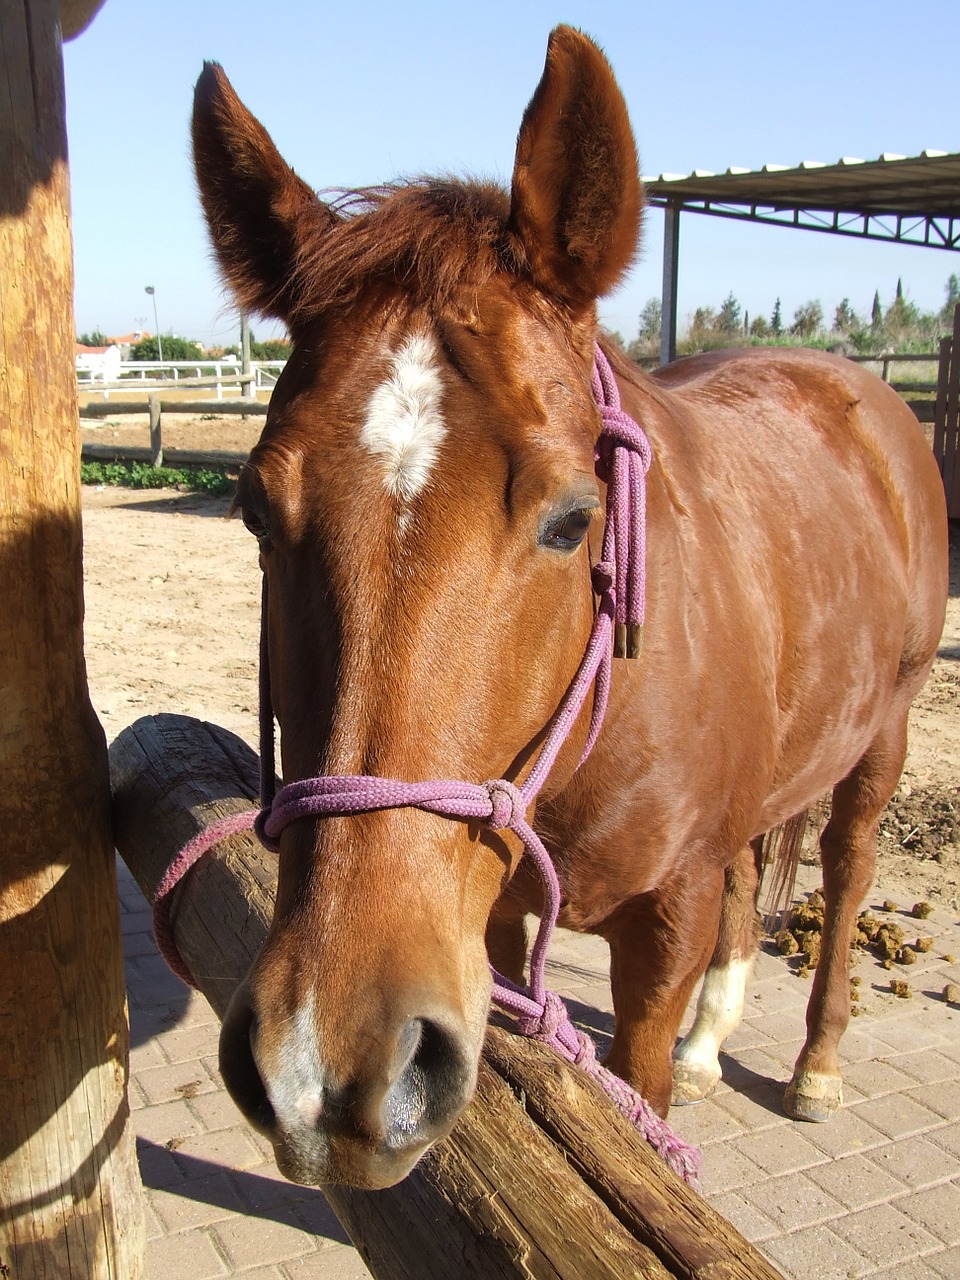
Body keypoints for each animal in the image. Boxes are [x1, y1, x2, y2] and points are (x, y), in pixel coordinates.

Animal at [192, 27, 952, 1187]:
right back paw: (711, 1043)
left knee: (848, 866)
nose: (331, 1064)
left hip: (884, 736)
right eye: (253, 510)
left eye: (572, 519)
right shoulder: (494, 922)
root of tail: (863, 391)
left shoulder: (664, 928)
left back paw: (816, 1062)